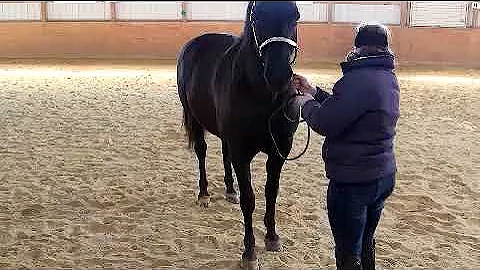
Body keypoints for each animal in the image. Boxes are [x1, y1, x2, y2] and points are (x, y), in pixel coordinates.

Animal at [176, 1, 302, 268]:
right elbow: (249, 199)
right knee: (202, 153)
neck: (264, 96)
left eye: (295, 16)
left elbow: (271, 192)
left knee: (225, 155)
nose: (279, 75)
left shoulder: (279, 150)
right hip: (195, 119)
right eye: (257, 17)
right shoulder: (242, 152)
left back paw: (229, 191)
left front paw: (272, 238)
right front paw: (249, 253)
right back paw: (204, 195)